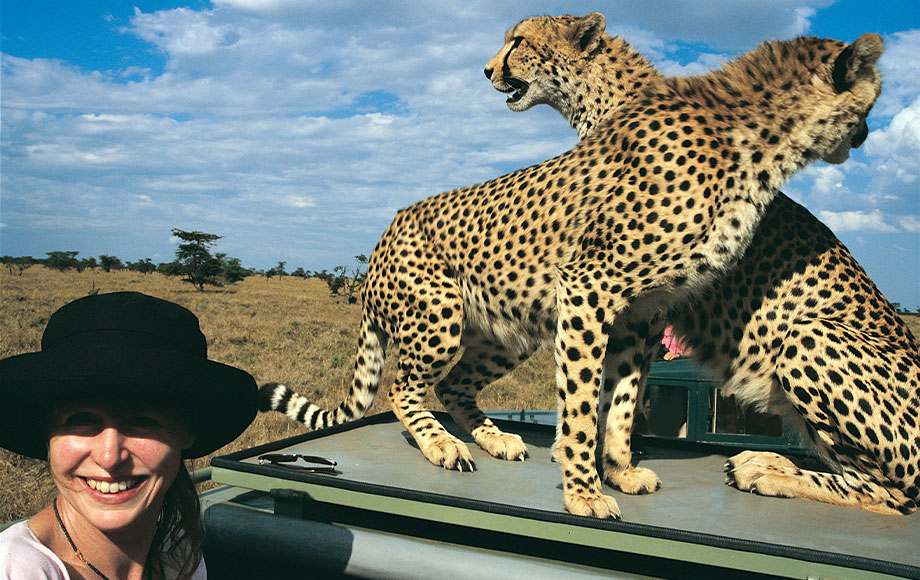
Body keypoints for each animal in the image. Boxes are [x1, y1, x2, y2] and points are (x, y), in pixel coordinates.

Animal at [260, 27, 884, 520]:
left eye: (517, 41)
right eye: (872, 102)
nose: (867, 136)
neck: (757, 140)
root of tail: (386, 230)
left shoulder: (642, 311)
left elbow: (622, 401)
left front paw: (620, 470)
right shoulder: (589, 289)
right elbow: (583, 404)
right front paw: (583, 491)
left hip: (507, 329)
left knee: (452, 384)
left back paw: (493, 438)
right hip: (442, 313)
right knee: (404, 387)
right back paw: (444, 446)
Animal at [486, 12, 916, 516]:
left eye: (517, 41)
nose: (488, 70)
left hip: (808, 334)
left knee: (892, 493)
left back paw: (766, 473)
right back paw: (766, 462)